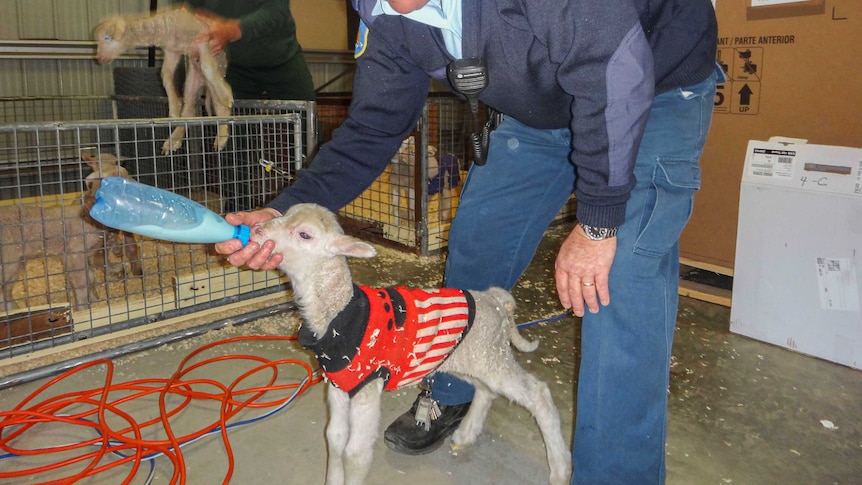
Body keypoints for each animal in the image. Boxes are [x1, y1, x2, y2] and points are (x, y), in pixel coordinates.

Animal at [94, 8, 235, 154]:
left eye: (106, 38)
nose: (99, 59)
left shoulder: (202, 40)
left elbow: (207, 67)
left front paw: (226, 97)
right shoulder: (172, 50)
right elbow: (165, 75)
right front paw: (174, 109)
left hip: (218, 69)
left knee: (219, 104)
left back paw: (222, 135)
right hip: (193, 76)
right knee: (189, 107)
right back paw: (173, 141)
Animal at [251, 202, 572, 484]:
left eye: (304, 234)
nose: (256, 229)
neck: (337, 312)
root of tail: (495, 300)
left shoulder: (368, 386)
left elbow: (355, 453)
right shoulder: (339, 385)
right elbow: (335, 439)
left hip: (491, 355)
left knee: (538, 394)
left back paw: (560, 470)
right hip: (464, 357)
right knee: (486, 389)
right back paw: (465, 435)